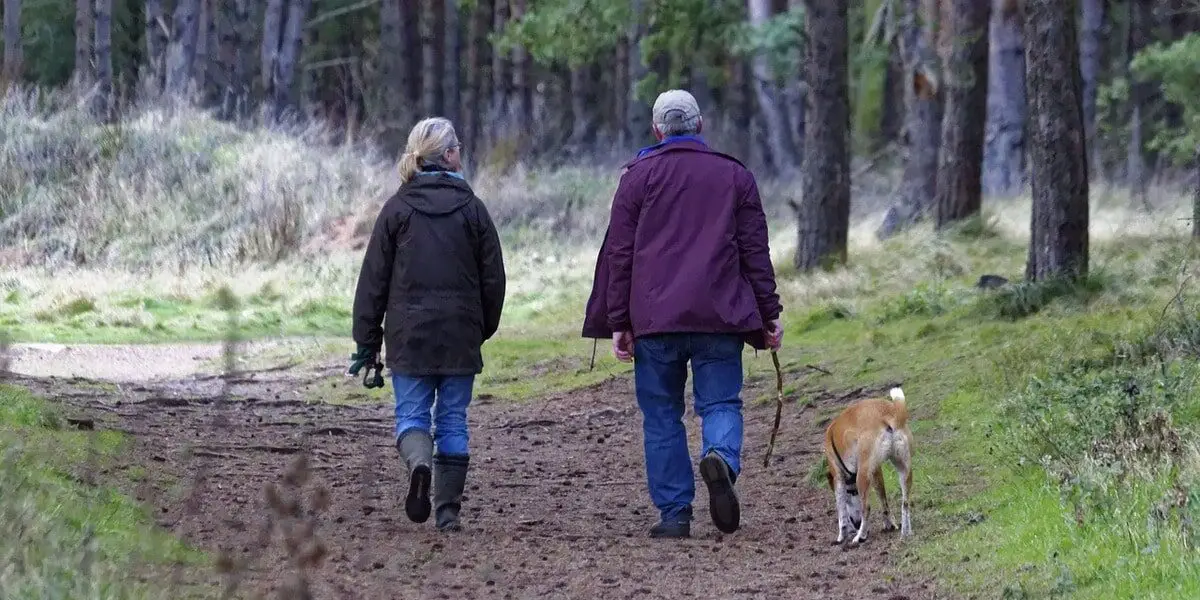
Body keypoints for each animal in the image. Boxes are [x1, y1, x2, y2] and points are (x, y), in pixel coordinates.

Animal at [820, 386, 912, 547]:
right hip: (904, 470)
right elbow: (884, 502)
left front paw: (841, 536)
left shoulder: (838, 477)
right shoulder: (876, 471)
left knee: (866, 508)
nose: (856, 524)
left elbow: (841, 512)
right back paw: (906, 533)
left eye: (850, 495)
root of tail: (887, 414)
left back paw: (860, 537)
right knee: (905, 503)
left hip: (862, 476)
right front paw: (890, 524)